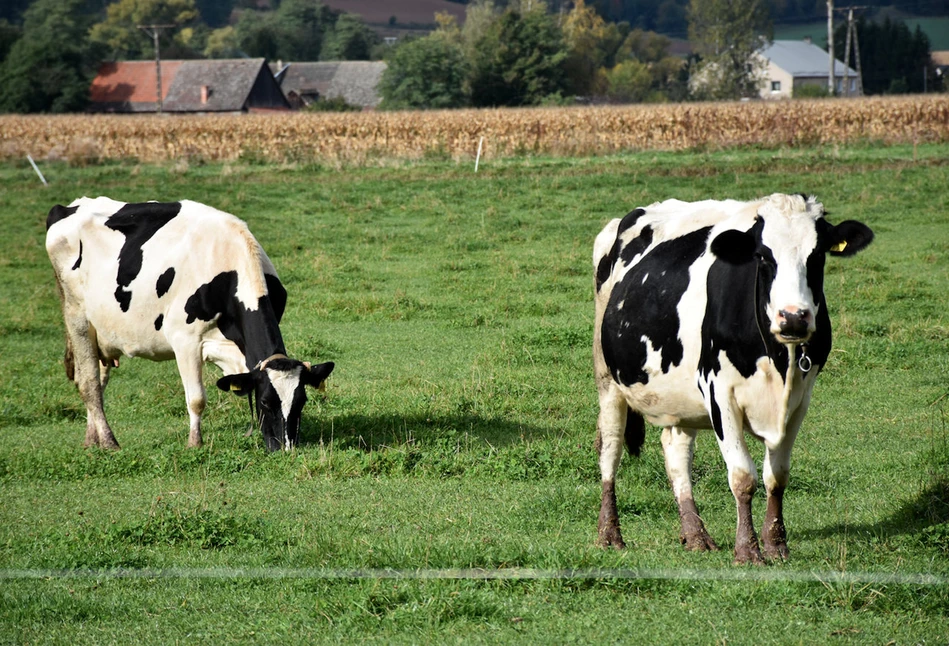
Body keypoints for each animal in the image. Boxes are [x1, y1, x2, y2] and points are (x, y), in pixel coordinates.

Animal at [45, 197, 334, 456]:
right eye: (265, 402)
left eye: (302, 401)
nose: (286, 449)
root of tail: (70, 206)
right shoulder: (185, 340)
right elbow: (196, 399)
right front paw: (195, 444)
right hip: (77, 316)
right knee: (89, 383)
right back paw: (109, 442)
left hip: (102, 332)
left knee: (98, 379)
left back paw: (91, 439)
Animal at [592, 195, 872, 564]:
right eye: (763, 256)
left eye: (817, 255)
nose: (794, 318)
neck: (779, 362)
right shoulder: (718, 390)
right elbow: (742, 477)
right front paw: (747, 549)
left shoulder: (801, 396)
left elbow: (777, 476)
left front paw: (776, 544)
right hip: (608, 379)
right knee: (610, 448)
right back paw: (610, 534)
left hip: (680, 395)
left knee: (677, 452)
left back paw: (696, 535)